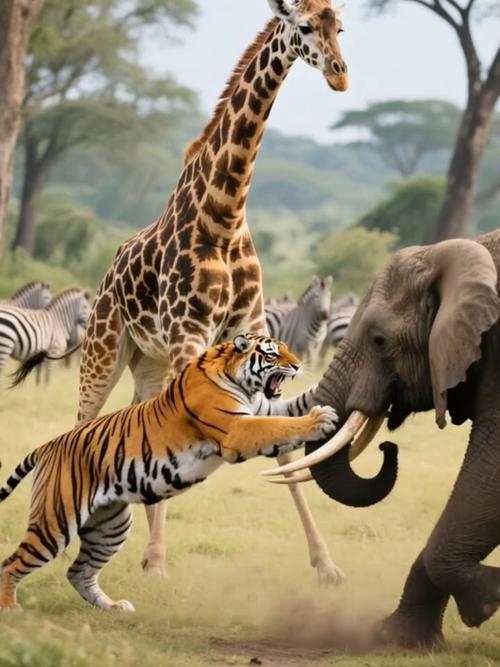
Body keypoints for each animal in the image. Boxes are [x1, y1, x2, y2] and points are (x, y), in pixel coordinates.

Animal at [0, 333, 337, 612]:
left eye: (286, 349)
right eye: (272, 354)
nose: (298, 365)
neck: (238, 378)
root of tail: (48, 445)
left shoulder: (262, 409)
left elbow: (292, 406)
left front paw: (321, 402)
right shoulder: (237, 429)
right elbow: (281, 425)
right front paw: (318, 420)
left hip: (111, 524)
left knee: (78, 572)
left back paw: (114, 607)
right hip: (56, 521)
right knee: (11, 563)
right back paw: (11, 609)